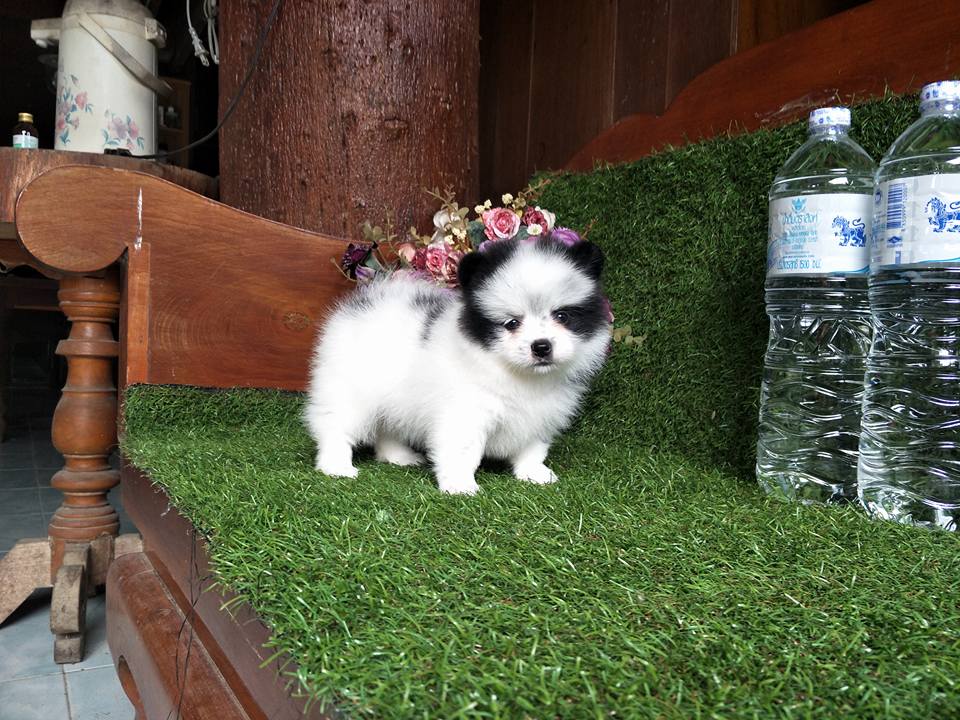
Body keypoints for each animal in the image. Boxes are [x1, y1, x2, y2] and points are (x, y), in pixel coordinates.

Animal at [304, 236, 611, 494]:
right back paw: (336, 466)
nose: (542, 346)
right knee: (335, 425)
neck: (517, 375)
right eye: (512, 323)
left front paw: (534, 473)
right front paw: (460, 485)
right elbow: (463, 452)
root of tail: (368, 300)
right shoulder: (466, 413)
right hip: (350, 390)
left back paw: (398, 456)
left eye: (562, 316)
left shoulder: (541, 416)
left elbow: (532, 449)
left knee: (387, 427)